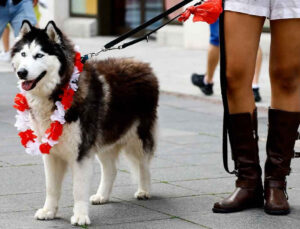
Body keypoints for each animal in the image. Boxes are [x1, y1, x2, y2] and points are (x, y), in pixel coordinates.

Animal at [11, 21, 159, 225]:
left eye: (39, 55)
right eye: (24, 54)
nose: (21, 73)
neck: (58, 91)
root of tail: (143, 65)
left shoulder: (80, 152)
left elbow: (78, 188)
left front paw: (80, 216)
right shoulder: (50, 151)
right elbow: (51, 187)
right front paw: (49, 211)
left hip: (137, 137)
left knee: (143, 164)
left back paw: (144, 190)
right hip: (105, 137)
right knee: (111, 169)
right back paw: (102, 195)